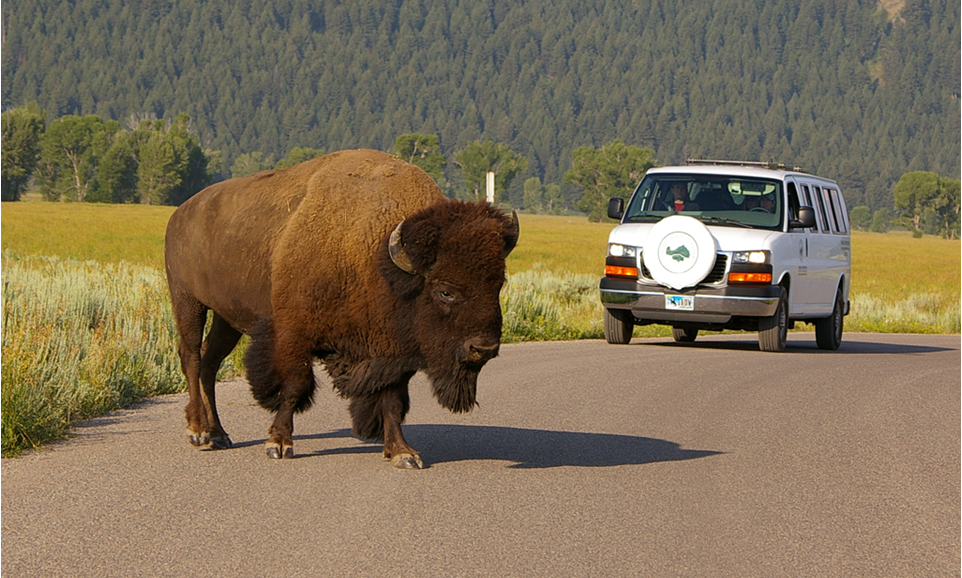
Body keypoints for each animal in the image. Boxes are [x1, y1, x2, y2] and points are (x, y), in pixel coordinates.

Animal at [165, 148, 516, 468]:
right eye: (445, 291)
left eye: (498, 283)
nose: (483, 349)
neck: (377, 257)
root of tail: (181, 213)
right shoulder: (292, 335)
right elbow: (294, 386)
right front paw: (278, 444)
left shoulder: (389, 353)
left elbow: (392, 401)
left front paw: (402, 453)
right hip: (188, 301)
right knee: (192, 356)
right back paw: (199, 432)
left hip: (226, 318)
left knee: (210, 362)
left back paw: (219, 434)